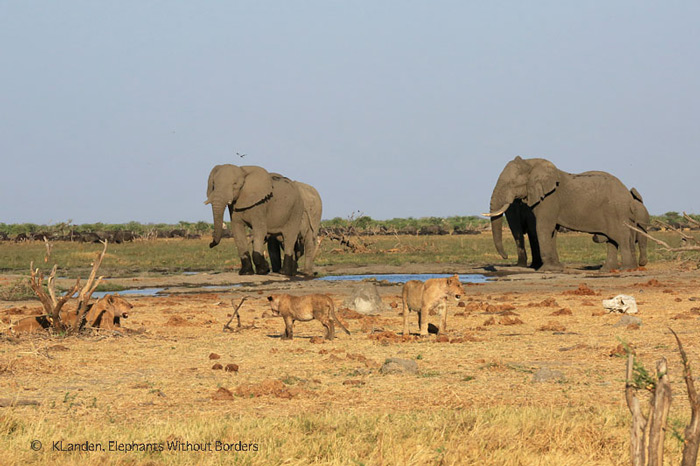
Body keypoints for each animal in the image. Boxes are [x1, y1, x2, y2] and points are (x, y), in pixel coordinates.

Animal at [486, 157, 640, 272]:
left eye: (512, 183)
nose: (505, 257)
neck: (532, 163)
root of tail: (627, 194)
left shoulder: (550, 199)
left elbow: (543, 228)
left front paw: (547, 269)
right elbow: (552, 230)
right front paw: (557, 267)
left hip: (617, 211)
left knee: (620, 237)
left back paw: (626, 269)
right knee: (611, 240)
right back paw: (607, 270)